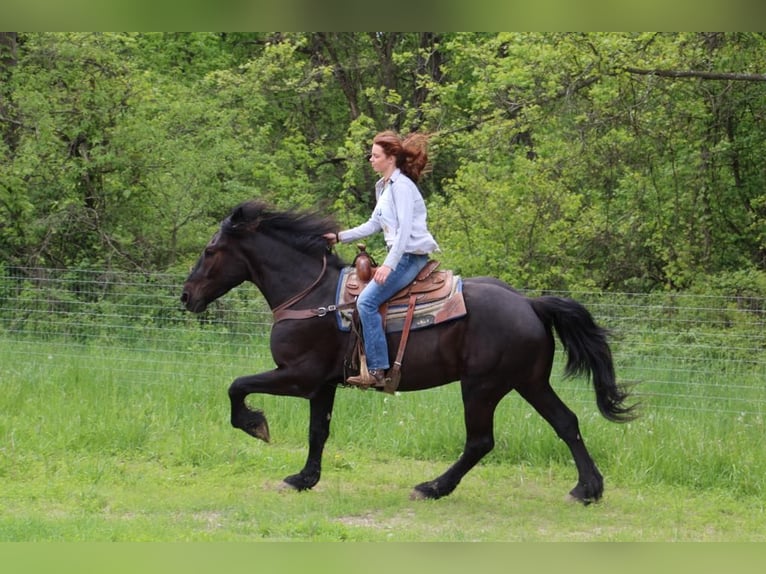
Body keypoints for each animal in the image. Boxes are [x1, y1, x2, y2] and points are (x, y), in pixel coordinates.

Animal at [180, 201, 636, 504]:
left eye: (209, 251)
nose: (186, 296)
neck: (312, 296)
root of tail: (530, 303)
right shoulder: (323, 385)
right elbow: (317, 432)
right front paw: (304, 478)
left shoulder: (297, 375)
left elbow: (237, 386)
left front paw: (255, 425)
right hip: (529, 382)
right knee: (566, 422)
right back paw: (587, 489)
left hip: (482, 387)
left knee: (480, 441)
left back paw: (433, 487)